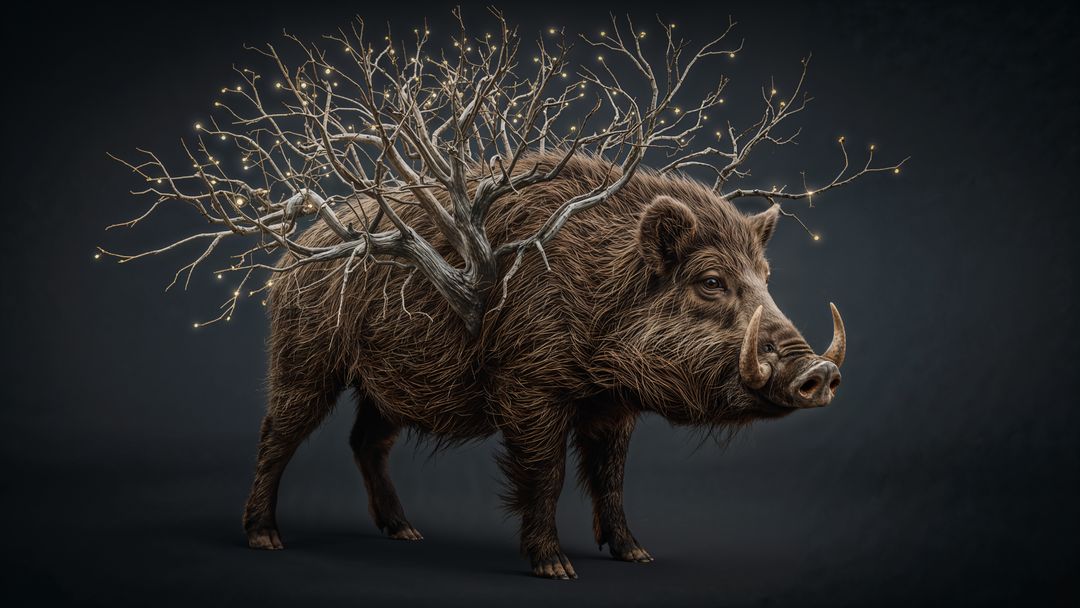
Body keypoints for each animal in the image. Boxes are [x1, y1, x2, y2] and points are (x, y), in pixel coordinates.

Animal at [241, 152, 846, 579]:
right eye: (712, 281)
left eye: (766, 278)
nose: (819, 372)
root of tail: (293, 255)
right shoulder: (528, 384)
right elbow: (546, 473)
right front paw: (557, 569)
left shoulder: (612, 406)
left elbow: (611, 477)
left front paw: (638, 555)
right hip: (306, 358)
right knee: (277, 433)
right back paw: (265, 537)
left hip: (388, 385)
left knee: (366, 440)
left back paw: (407, 533)